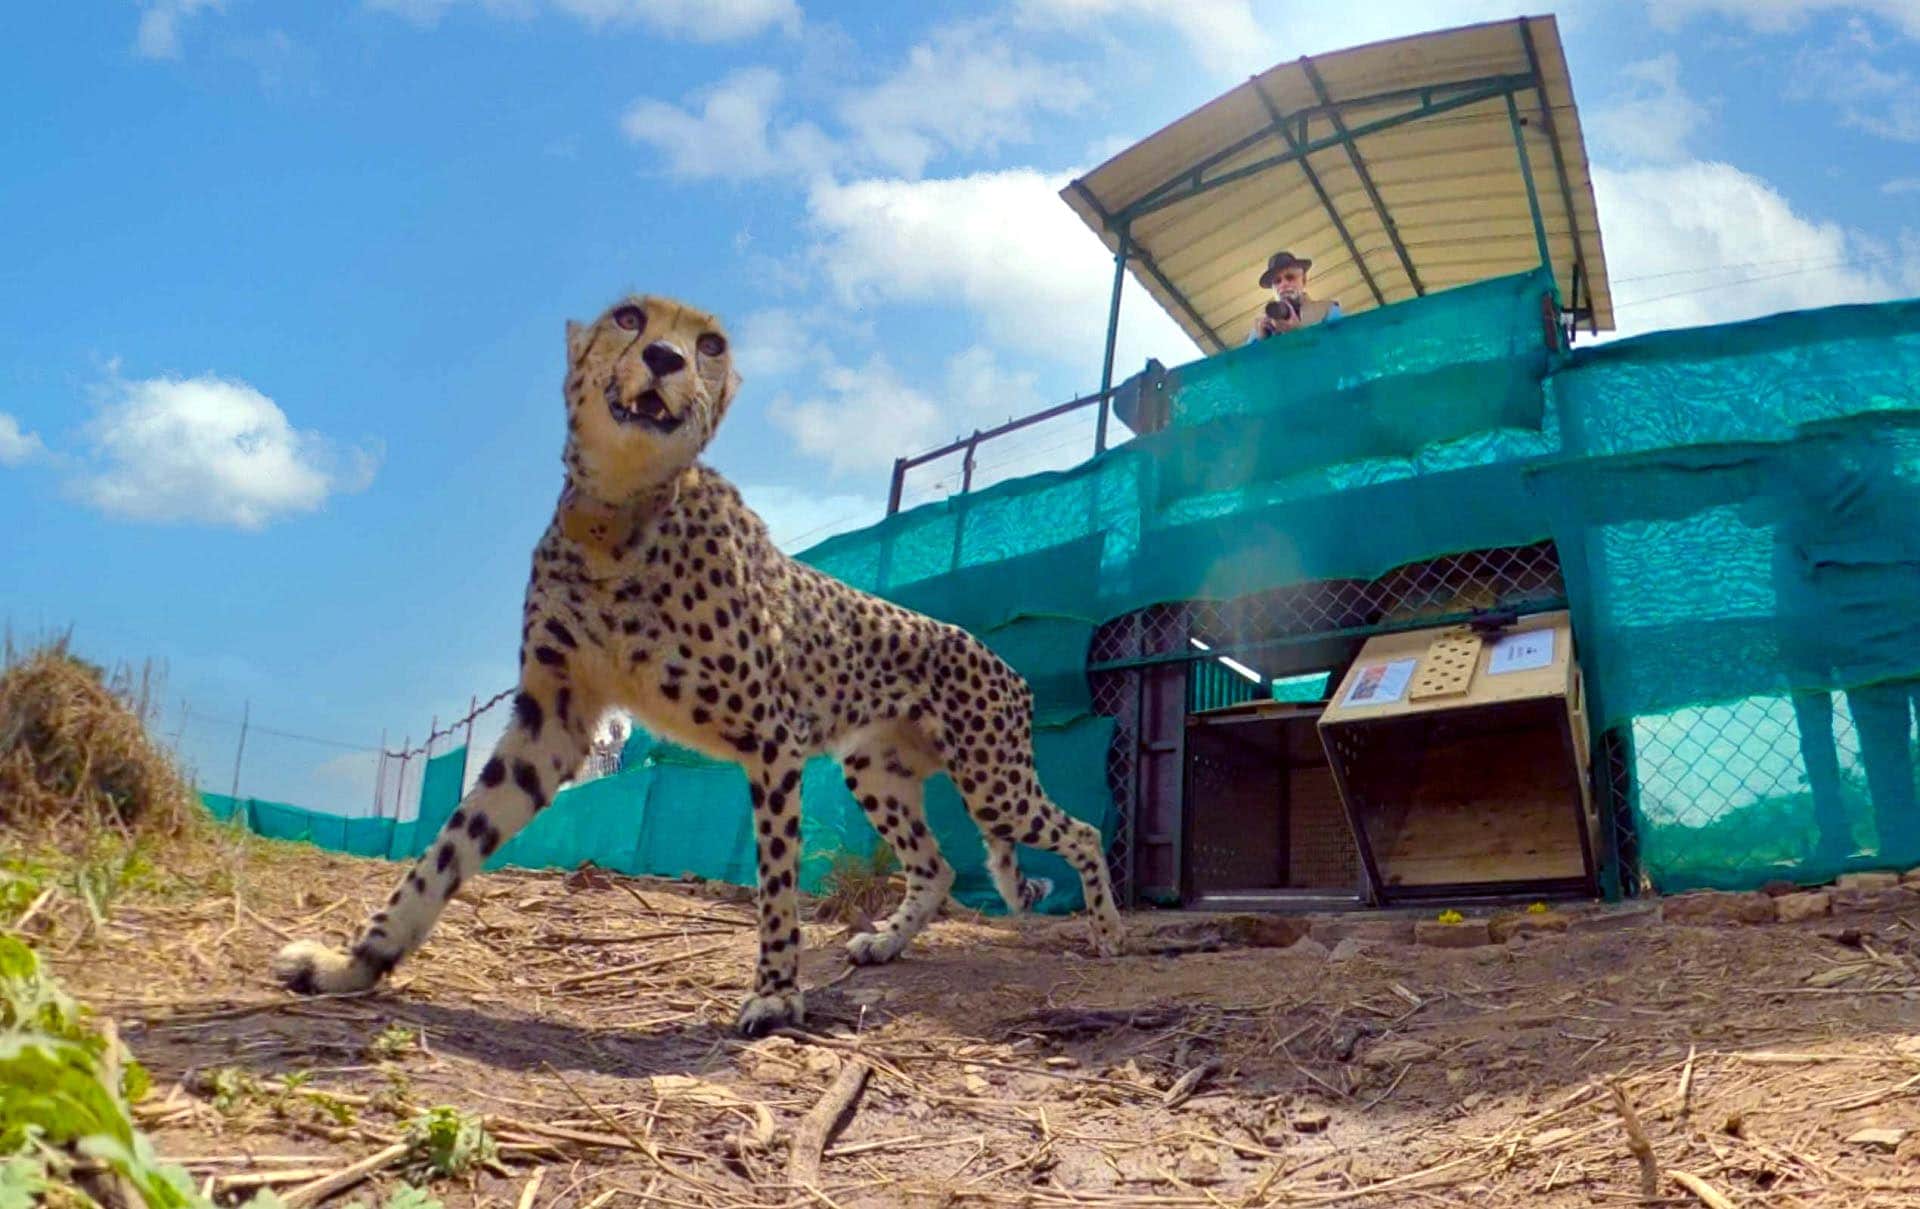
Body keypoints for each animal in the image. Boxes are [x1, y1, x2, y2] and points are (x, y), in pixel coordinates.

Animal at [270, 293, 1125, 1036]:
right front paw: (355, 963)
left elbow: (776, 879)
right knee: (940, 866)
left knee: (1081, 829)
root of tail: (999, 656)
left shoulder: (773, 737)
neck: (618, 513)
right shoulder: (555, 719)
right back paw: (886, 939)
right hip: (877, 771)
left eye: (708, 343)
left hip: (992, 780)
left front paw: (776, 996)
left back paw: (1109, 932)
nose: (664, 358)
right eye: (628, 318)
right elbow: (447, 849)